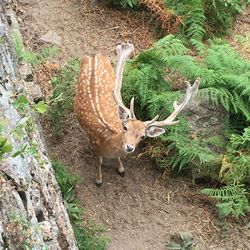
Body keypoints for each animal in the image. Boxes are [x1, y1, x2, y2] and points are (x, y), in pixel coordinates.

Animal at [73, 42, 199, 186]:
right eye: (125, 127)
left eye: (143, 136)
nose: (129, 147)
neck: (107, 140)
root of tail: (94, 55)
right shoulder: (95, 144)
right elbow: (99, 161)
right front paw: (98, 180)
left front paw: (121, 169)